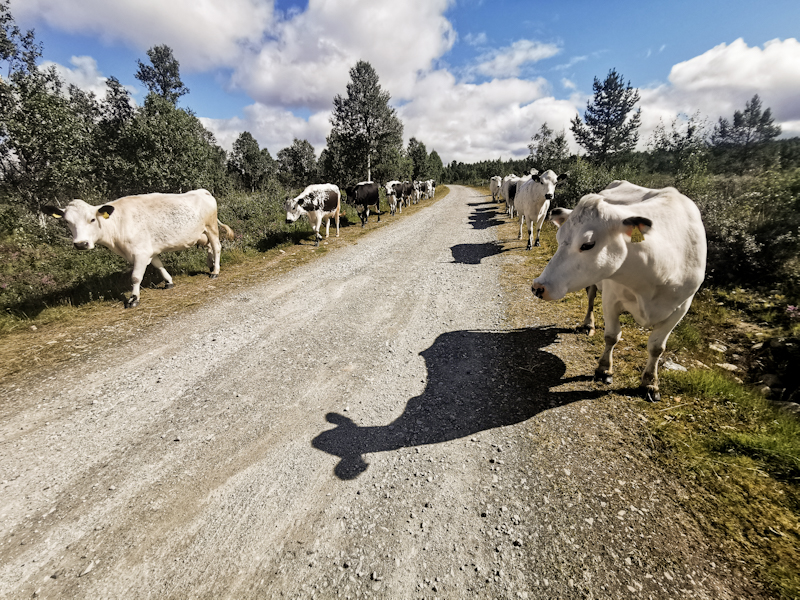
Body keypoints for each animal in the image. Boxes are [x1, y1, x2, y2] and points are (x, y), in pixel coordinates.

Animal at [42, 189, 233, 310]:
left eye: (92, 219)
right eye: (67, 222)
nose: (81, 244)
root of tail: (202, 191)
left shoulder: (140, 253)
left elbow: (135, 277)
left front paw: (133, 299)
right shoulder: (149, 250)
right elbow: (159, 265)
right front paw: (169, 282)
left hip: (211, 228)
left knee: (216, 247)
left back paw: (215, 271)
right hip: (203, 233)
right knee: (209, 248)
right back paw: (210, 266)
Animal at [532, 180, 708, 400]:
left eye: (588, 244)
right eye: (559, 237)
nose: (538, 287)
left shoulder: (681, 307)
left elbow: (657, 347)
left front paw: (650, 383)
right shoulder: (610, 298)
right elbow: (612, 336)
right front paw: (604, 370)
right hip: (594, 285)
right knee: (591, 299)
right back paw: (588, 325)